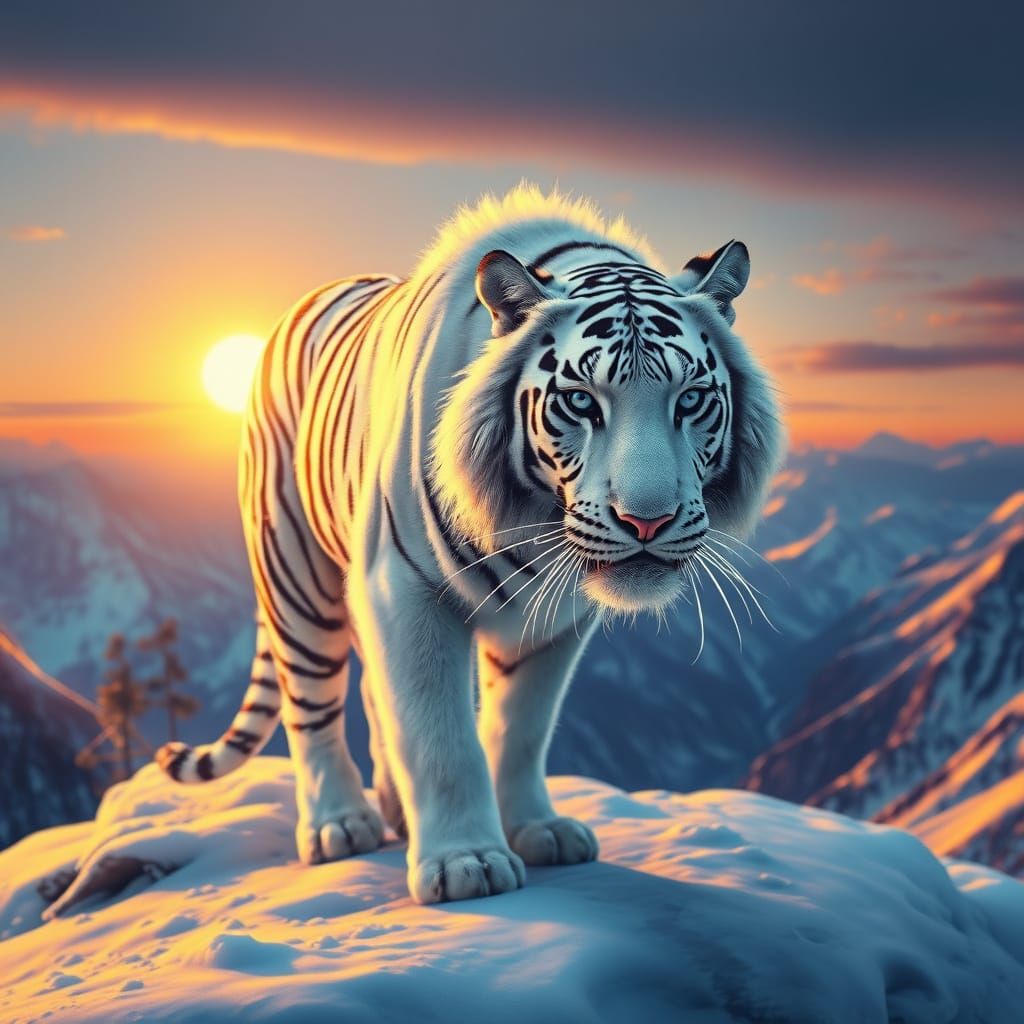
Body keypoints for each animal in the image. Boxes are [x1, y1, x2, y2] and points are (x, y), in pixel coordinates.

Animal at [156, 185, 783, 904]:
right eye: (581, 401)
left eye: (691, 399)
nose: (647, 520)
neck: (532, 524)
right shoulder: (404, 589)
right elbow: (440, 734)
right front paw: (467, 863)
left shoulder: (555, 622)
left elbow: (521, 728)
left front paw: (539, 831)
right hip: (297, 573)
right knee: (311, 701)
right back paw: (340, 824)